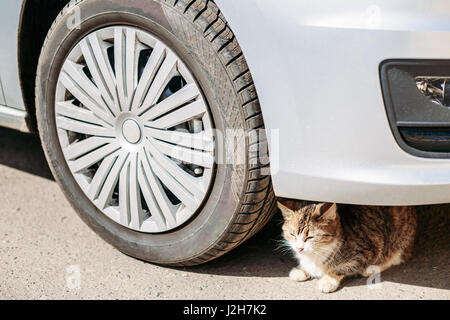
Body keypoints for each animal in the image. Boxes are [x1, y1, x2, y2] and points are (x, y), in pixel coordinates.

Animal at [278, 200, 418, 292]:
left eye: (310, 237)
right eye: (292, 234)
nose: (299, 248)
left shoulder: (367, 251)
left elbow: (342, 267)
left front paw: (328, 279)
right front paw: (302, 269)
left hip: (399, 236)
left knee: (396, 255)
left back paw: (372, 268)